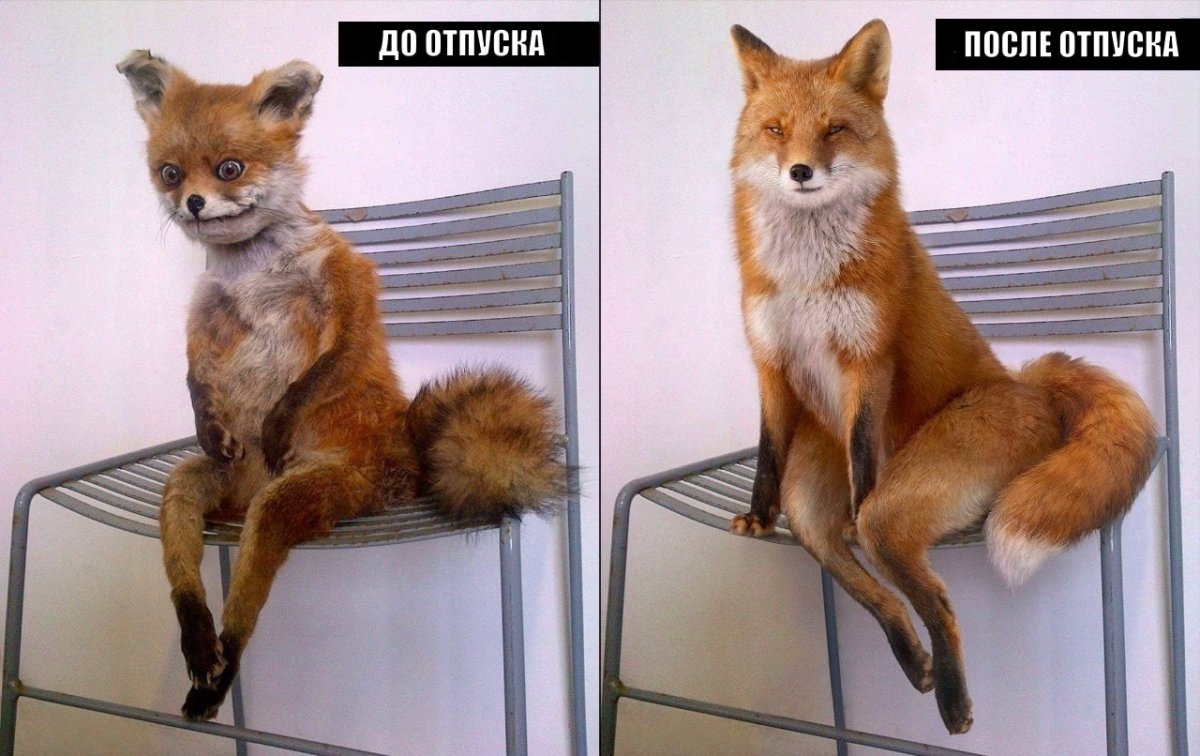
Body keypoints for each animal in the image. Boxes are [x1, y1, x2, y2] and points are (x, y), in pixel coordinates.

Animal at [116, 50, 565, 721]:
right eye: (170, 174)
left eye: (229, 168)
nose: (193, 203)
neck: (252, 274)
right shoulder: (205, 317)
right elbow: (194, 372)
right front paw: (205, 415)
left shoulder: (347, 292)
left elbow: (323, 370)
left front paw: (278, 417)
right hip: (192, 485)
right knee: (184, 565)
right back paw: (198, 645)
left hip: (296, 497)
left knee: (247, 596)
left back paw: (224, 660)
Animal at [726, 21, 1156, 734]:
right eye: (776, 130)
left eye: (834, 129)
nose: (800, 171)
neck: (807, 275)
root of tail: (1029, 385)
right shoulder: (771, 362)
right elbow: (766, 451)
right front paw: (758, 517)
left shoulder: (867, 359)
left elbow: (865, 453)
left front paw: (851, 496)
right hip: (808, 502)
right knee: (872, 588)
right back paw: (915, 662)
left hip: (900, 504)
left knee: (928, 588)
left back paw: (953, 700)